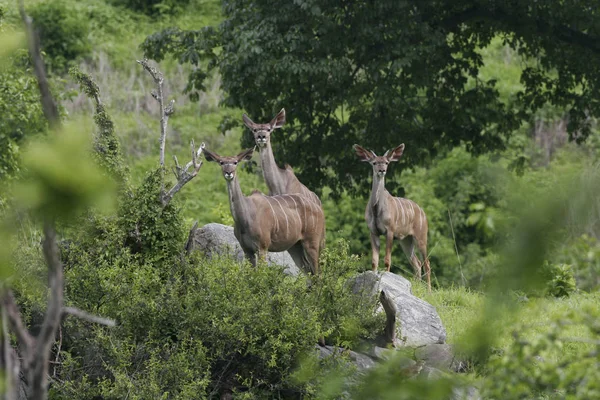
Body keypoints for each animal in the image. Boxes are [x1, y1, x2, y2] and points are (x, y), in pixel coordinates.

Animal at [204, 147, 326, 276]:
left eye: (235, 162)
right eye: (221, 162)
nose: (229, 173)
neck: (245, 216)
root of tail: (319, 208)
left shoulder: (262, 247)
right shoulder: (247, 250)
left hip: (312, 243)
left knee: (318, 273)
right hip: (295, 246)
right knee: (308, 272)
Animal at [352, 143, 432, 290]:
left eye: (387, 162)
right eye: (374, 162)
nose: (382, 170)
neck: (377, 209)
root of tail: (423, 213)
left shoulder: (390, 231)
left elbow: (387, 260)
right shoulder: (373, 231)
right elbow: (374, 261)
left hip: (421, 237)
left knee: (427, 263)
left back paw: (429, 291)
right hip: (406, 240)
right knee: (417, 263)